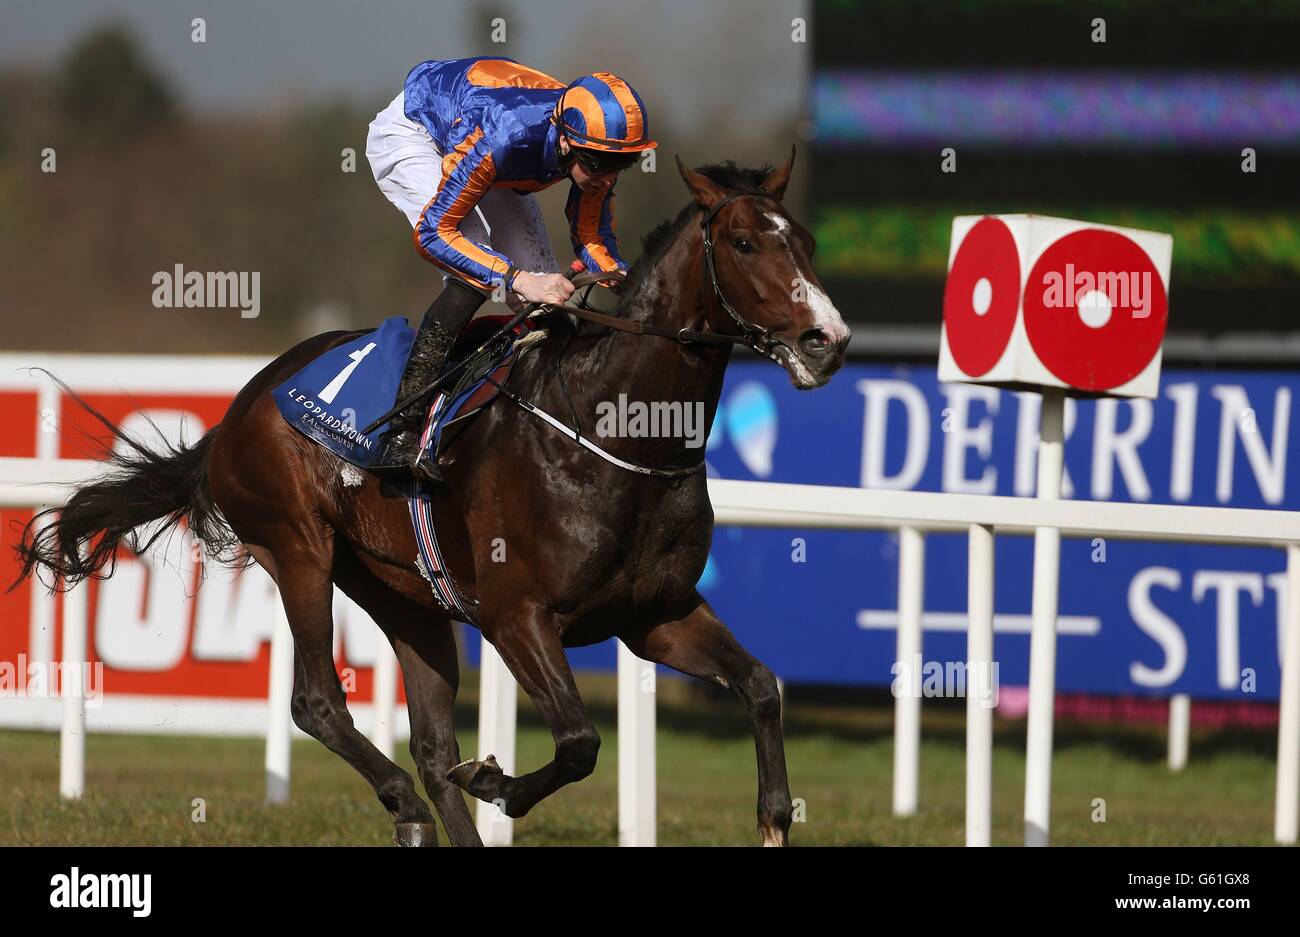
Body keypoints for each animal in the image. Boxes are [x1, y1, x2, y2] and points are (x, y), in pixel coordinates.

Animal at [20, 148, 857, 847]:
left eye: (808, 241)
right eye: (744, 243)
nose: (828, 340)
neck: (611, 428)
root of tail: (238, 409)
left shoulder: (655, 614)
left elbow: (761, 684)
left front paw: (775, 814)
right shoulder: (516, 613)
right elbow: (580, 741)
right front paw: (500, 783)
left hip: (404, 594)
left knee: (428, 741)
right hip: (297, 545)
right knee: (317, 702)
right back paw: (405, 802)